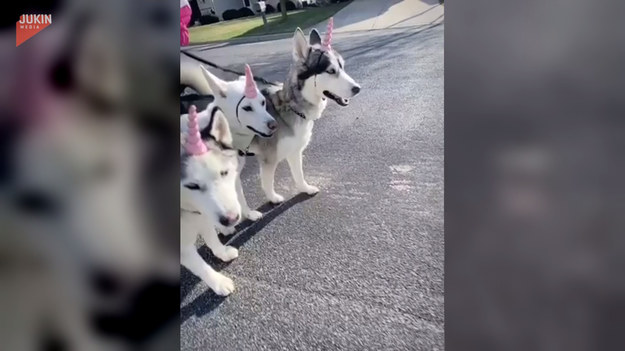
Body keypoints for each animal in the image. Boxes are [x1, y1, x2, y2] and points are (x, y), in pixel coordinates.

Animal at [180, 105, 241, 296]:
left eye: (224, 173)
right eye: (192, 186)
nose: (231, 219)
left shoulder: (203, 216)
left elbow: (213, 239)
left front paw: (222, 252)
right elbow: (201, 267)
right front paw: (218, 282)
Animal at [247, 19, 360, 205]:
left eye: (342, 67)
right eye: (331, 71)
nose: (358, 88)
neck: (290, 106)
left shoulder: (294, 152)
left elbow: (298, 174)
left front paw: (304, 189)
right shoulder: (269, 159)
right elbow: (268, 182)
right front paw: (273, 198)